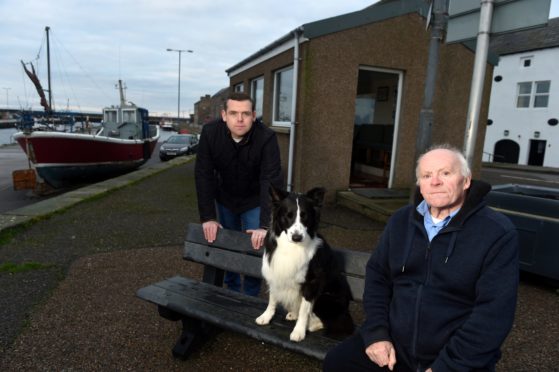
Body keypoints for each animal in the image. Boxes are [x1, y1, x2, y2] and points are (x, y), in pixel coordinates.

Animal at [255, 187, 352, 342]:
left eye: (305, 216)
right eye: (288, 216)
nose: (297, 237)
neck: (292, 247)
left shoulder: (311, 283)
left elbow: (304, 310)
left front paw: (299, 331)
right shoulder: (276, 273)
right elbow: (272, 299)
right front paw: (266, 316)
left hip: (326, 297)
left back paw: (311, 324)